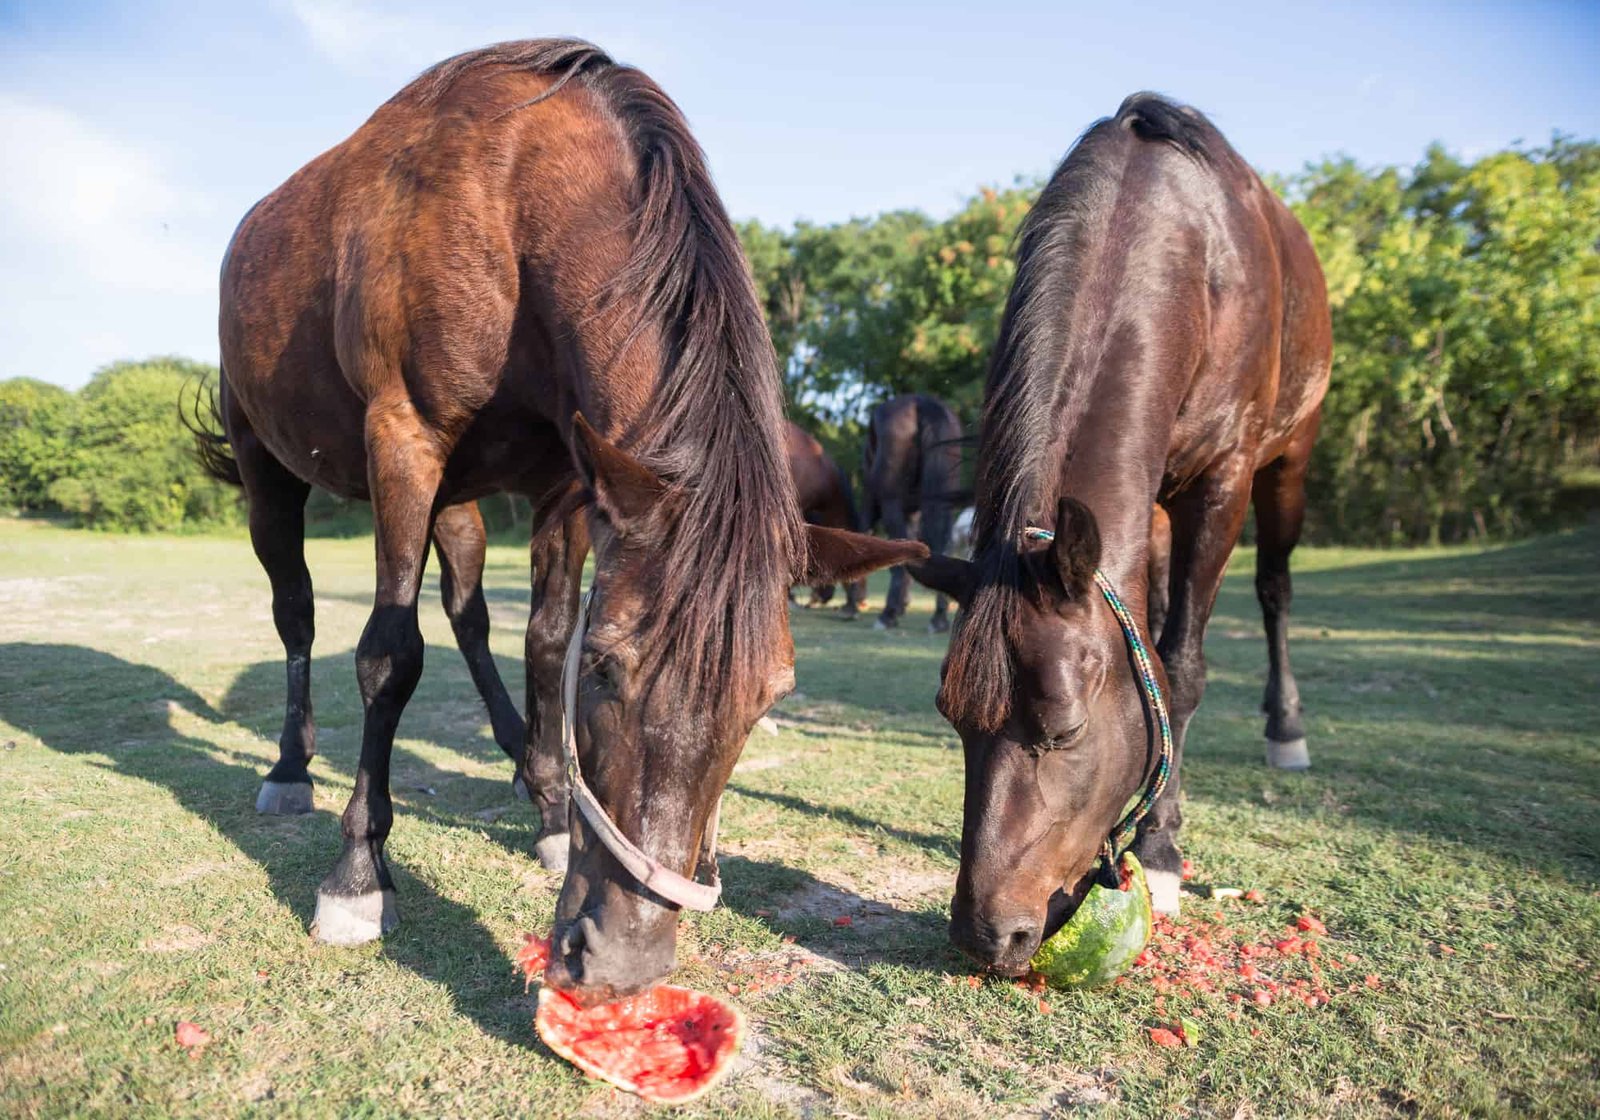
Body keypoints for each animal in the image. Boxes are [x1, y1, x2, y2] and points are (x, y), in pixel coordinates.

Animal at [909, 93, 1330, 975]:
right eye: (951, 718)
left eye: (1064, 731)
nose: (985, 935)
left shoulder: (1223, 480)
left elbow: (1184, 669)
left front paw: (1163, 854)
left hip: (1289, 462)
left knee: (1273, 588)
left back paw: (1285, 730)